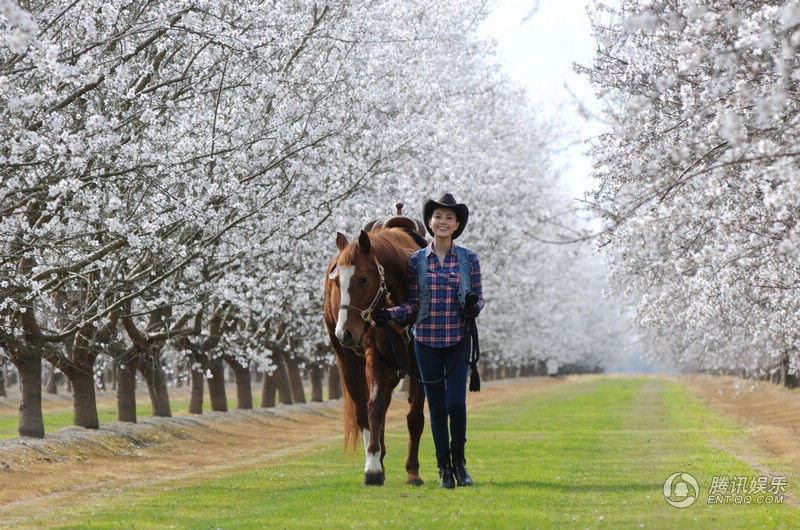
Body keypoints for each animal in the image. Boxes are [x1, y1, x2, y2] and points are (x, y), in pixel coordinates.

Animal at [324, 226, 428, 482]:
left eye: (364, 279)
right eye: (336, 281)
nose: (344, 333)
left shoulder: (421, 366)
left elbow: (414, 418)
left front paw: (413, 471)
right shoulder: (376, 359)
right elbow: (374, 407)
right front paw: (372, 465)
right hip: (349, 362)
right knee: (363, 411)